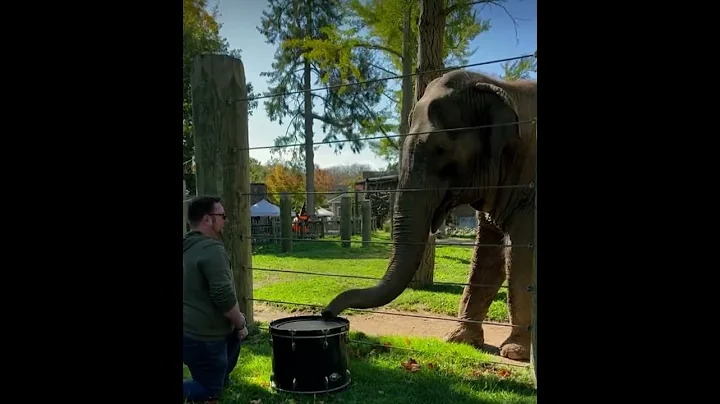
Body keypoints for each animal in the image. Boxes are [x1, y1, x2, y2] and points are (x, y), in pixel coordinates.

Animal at [321, 69, 537, 361]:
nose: (326, 314)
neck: (501, 86)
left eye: (441, 150)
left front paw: (514, 353)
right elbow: (487, 256)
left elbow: (520, 255)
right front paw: (459, 340)